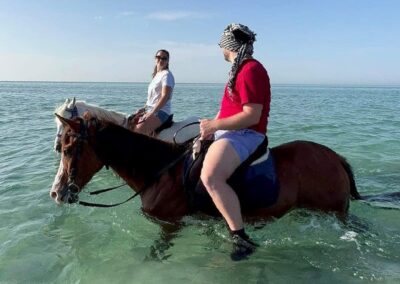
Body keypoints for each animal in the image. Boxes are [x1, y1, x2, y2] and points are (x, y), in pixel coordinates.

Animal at [50, 115, 400, 260]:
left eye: (68, 148)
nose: (57, 193)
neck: (161, 171)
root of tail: (336, 157)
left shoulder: (169, 226)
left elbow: (154, 254)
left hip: (336, 211)